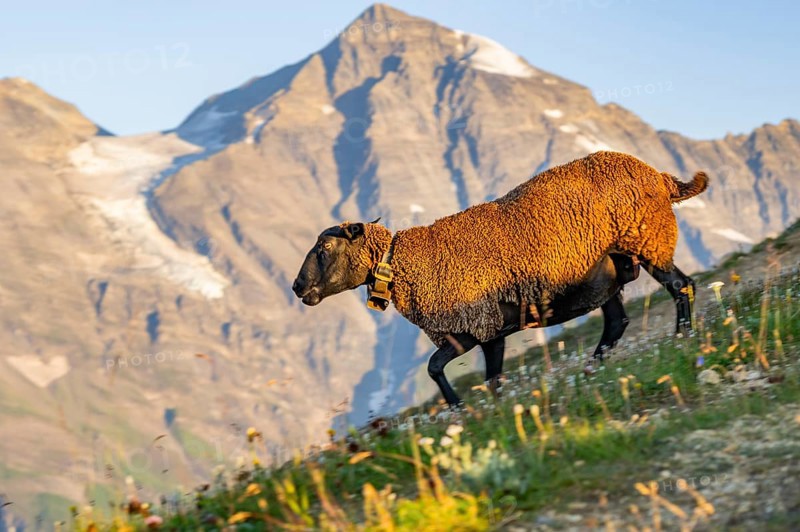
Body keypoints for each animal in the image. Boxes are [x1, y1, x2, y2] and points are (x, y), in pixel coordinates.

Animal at [293, 150, 707, 405]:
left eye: (324, 248)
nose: (298, 287)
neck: (403, 265)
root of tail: (661, 177)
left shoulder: (486, 322)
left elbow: (490, 379)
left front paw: (483, 409)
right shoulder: (461, 332)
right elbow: (435, 367)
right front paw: (457, 407)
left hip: (649, 240)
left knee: (680, 286)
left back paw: (682, 339)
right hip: (607, 276)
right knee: (618, 320)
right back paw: (594, 366)